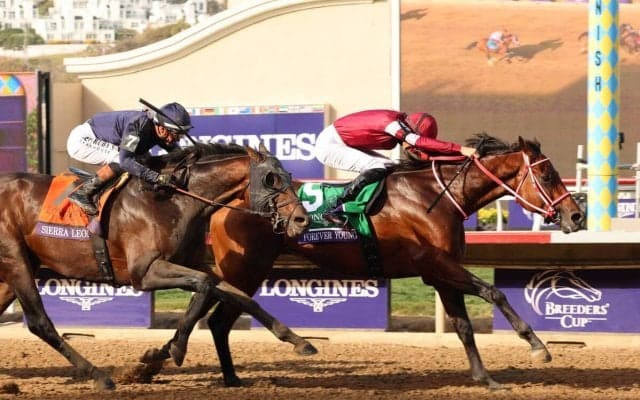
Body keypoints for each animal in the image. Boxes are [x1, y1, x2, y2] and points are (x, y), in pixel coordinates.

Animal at [0, 142, 315, 390]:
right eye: (271, 179)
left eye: (288, 176)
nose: (302, 220)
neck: (171, 199)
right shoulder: (144, 273)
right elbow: (204, 284)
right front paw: (175, 349)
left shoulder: (190, 264)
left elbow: (239, 296)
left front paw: (300, 341)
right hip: (16, 261)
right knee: (40, 323)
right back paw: (100, 376)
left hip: (12, 272)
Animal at [142, 133, 586, 389]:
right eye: (548, 177)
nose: (576, 216)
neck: (436, 197)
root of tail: (225, 203)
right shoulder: (437, 265)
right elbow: (494, 292)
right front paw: (538, 347)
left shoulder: (441, 273)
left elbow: (462, 326)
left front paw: (485, 378)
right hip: (245, 267)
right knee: (214, 310)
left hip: (248, 269)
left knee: (215, 314)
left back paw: (221, 375)